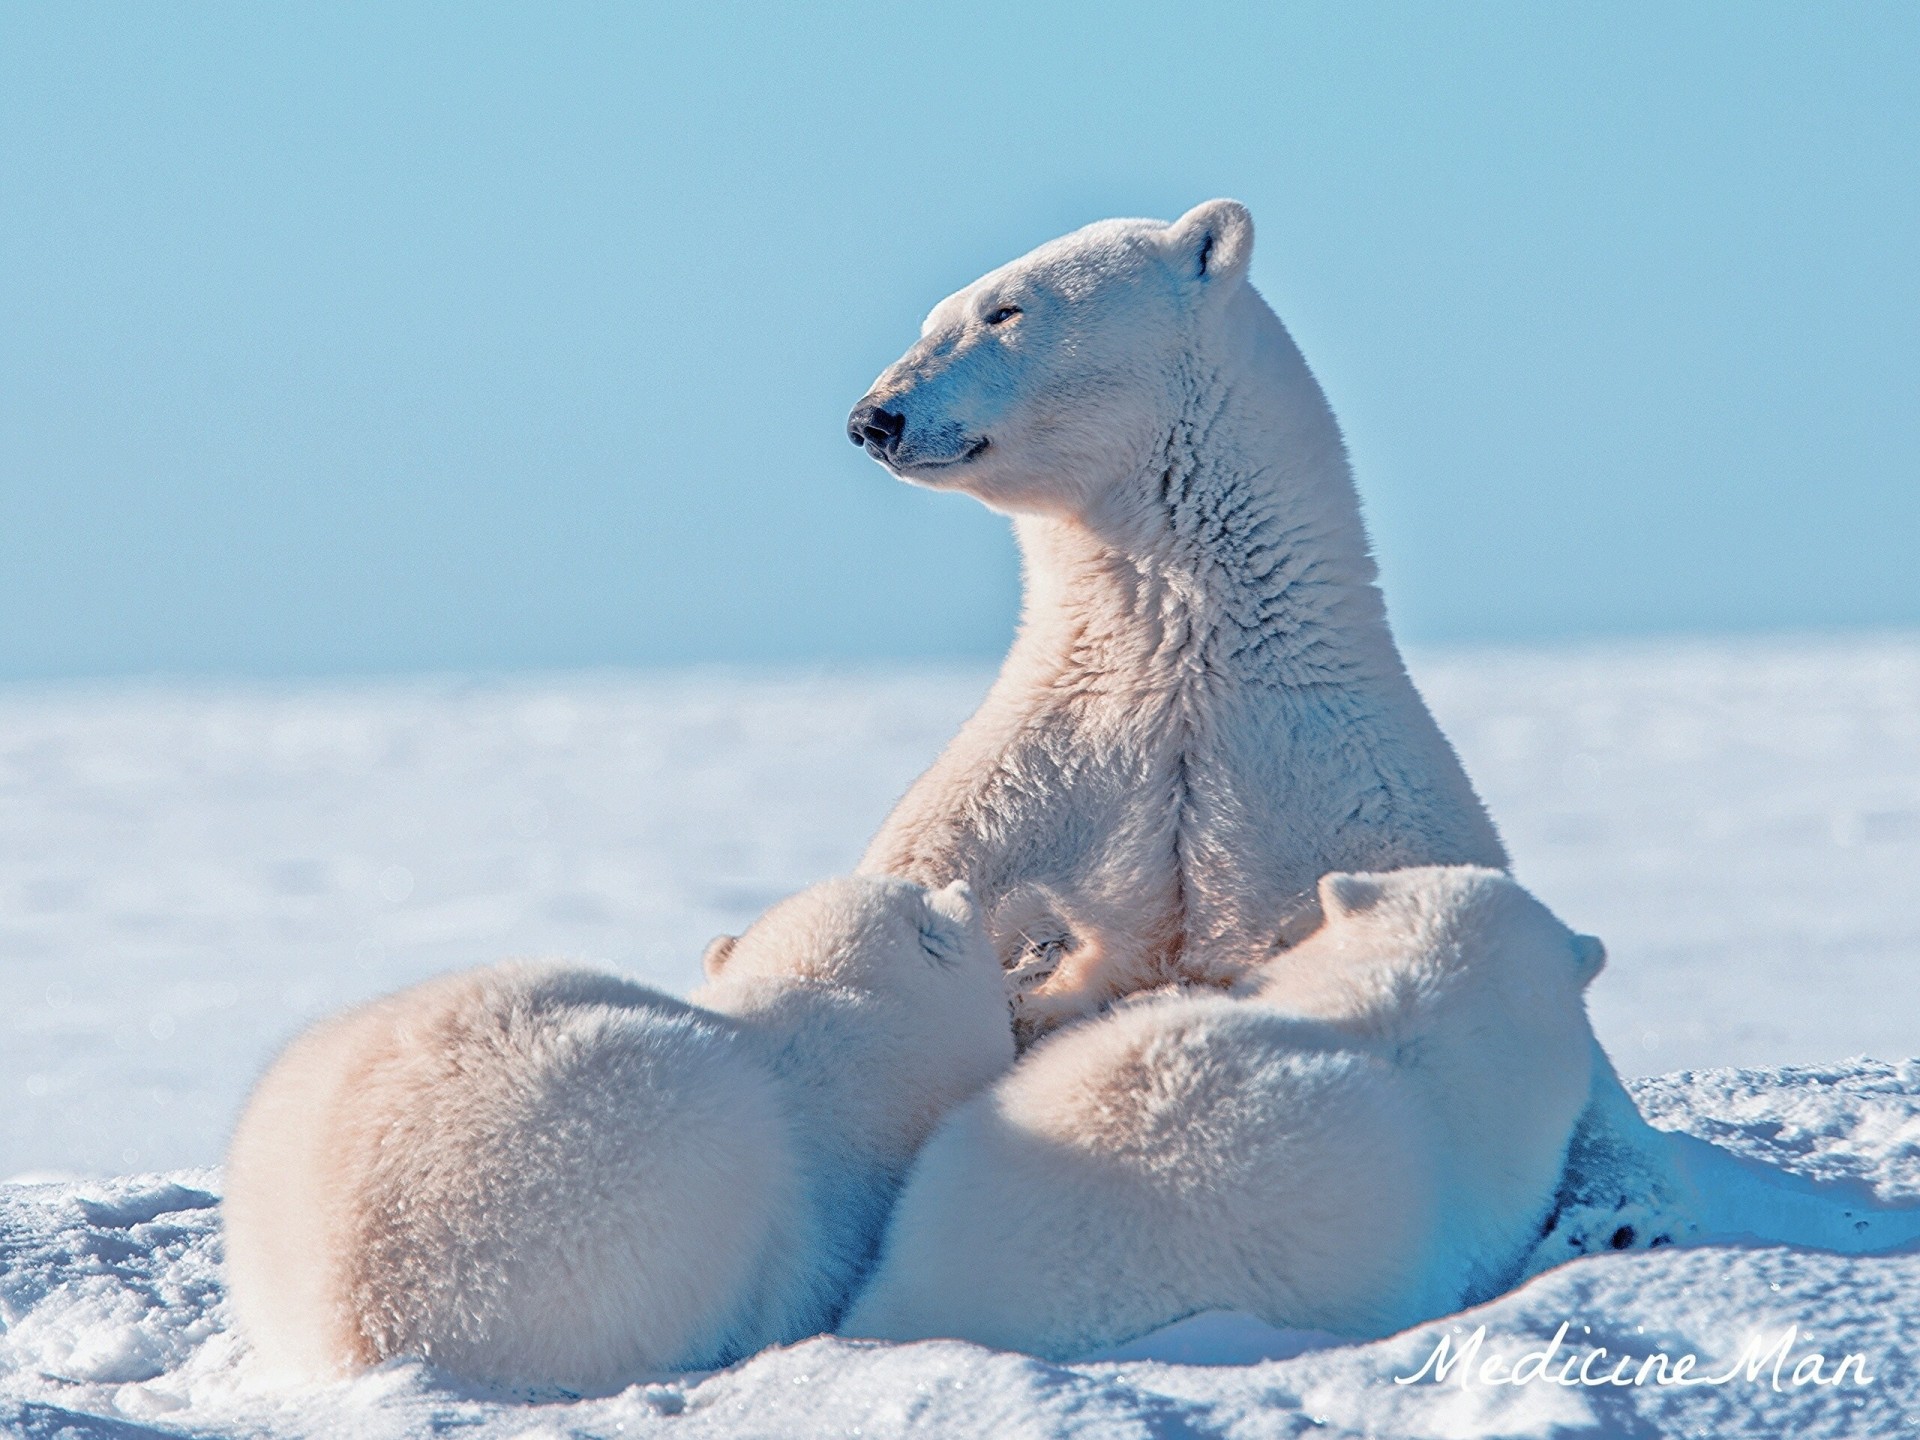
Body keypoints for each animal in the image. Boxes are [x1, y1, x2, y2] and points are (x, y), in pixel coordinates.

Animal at [845, 199, 1692, 1256]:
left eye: (1004, 309)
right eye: (936, 315)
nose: (874, 417)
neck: (1191, 661)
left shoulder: (1351, 786)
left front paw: (1621, 1213)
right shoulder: (1044, 765)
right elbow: (930, 872)